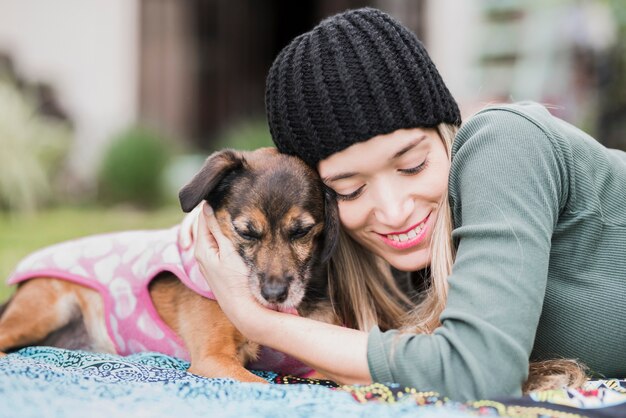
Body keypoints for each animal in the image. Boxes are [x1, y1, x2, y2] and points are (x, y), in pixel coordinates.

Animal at [0, 147, 338, 382]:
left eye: (302, 231)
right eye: (245, 232)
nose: (274, 294)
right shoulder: (213, 359)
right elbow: (265, 386)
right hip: (42, 311)